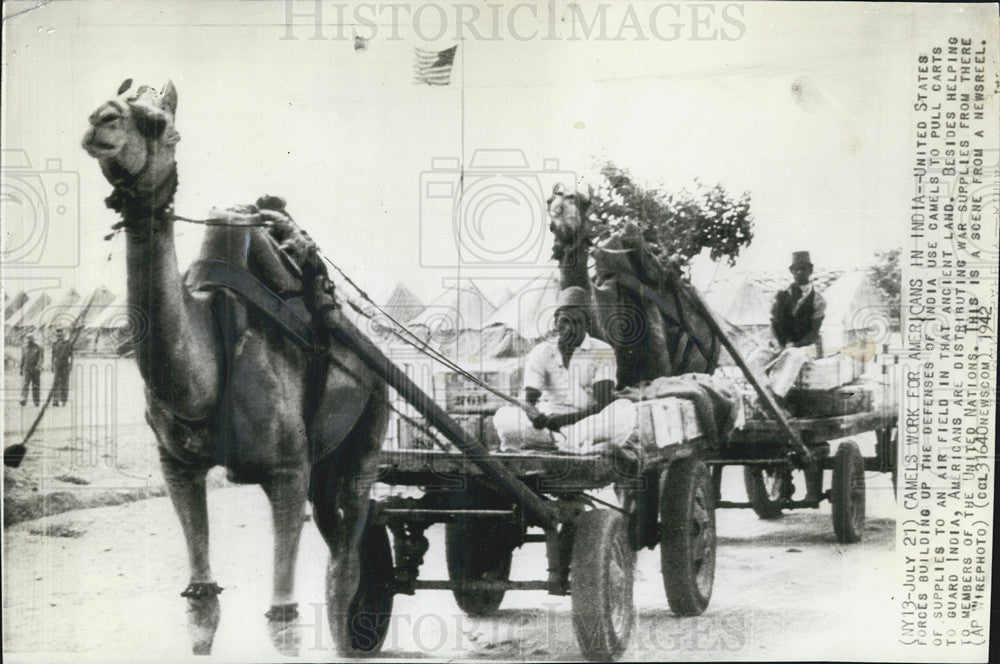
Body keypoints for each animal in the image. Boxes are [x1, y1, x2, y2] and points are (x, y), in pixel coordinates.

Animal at [81, 80, 390, 656]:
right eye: (116, 101)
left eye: (160, 124)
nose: (100, 120)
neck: (205, 374)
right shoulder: (177, 467)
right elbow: (202, 604)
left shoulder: (287, 469)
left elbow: (284, 619)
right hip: (324, 464)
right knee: (342, 551)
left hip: (370, 428)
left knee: (346, 561)